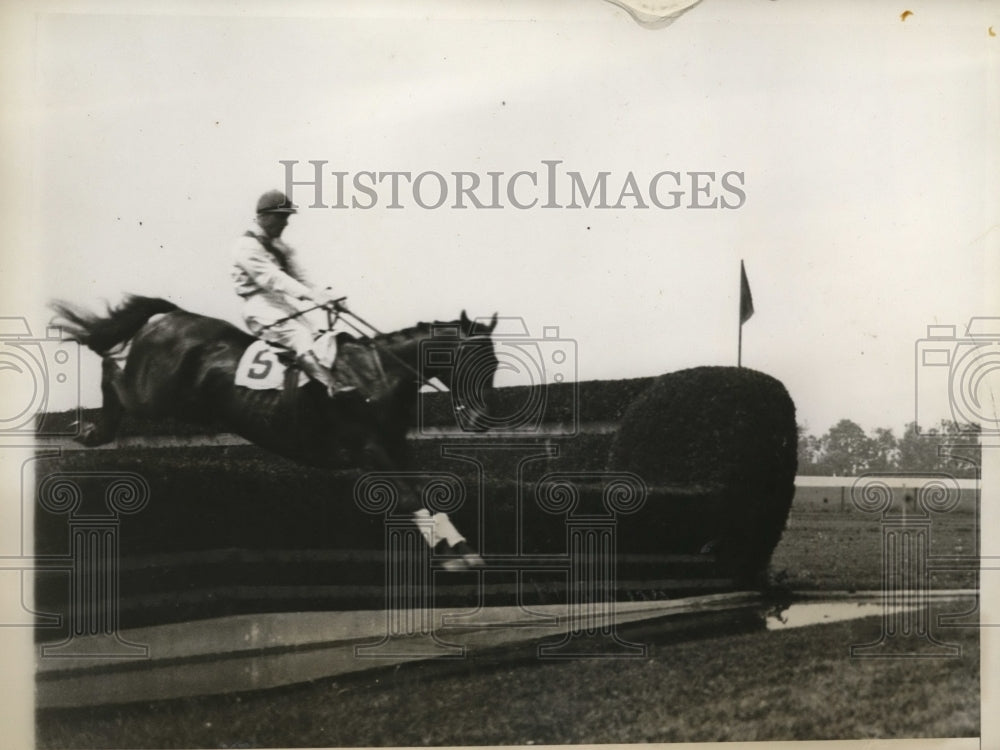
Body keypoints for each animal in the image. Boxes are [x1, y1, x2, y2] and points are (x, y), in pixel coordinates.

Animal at [49, 294, 496, 568]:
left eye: (493, 367)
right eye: (473, 364)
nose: (480, 421)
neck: (375, 377)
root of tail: (172, 315)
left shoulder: (396, 446)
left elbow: (427, 490)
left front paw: (462, 547)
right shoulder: (368, 449)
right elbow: (409, 496)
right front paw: (449, 551)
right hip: (154, 395)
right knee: (111, 370)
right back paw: (91, 429)